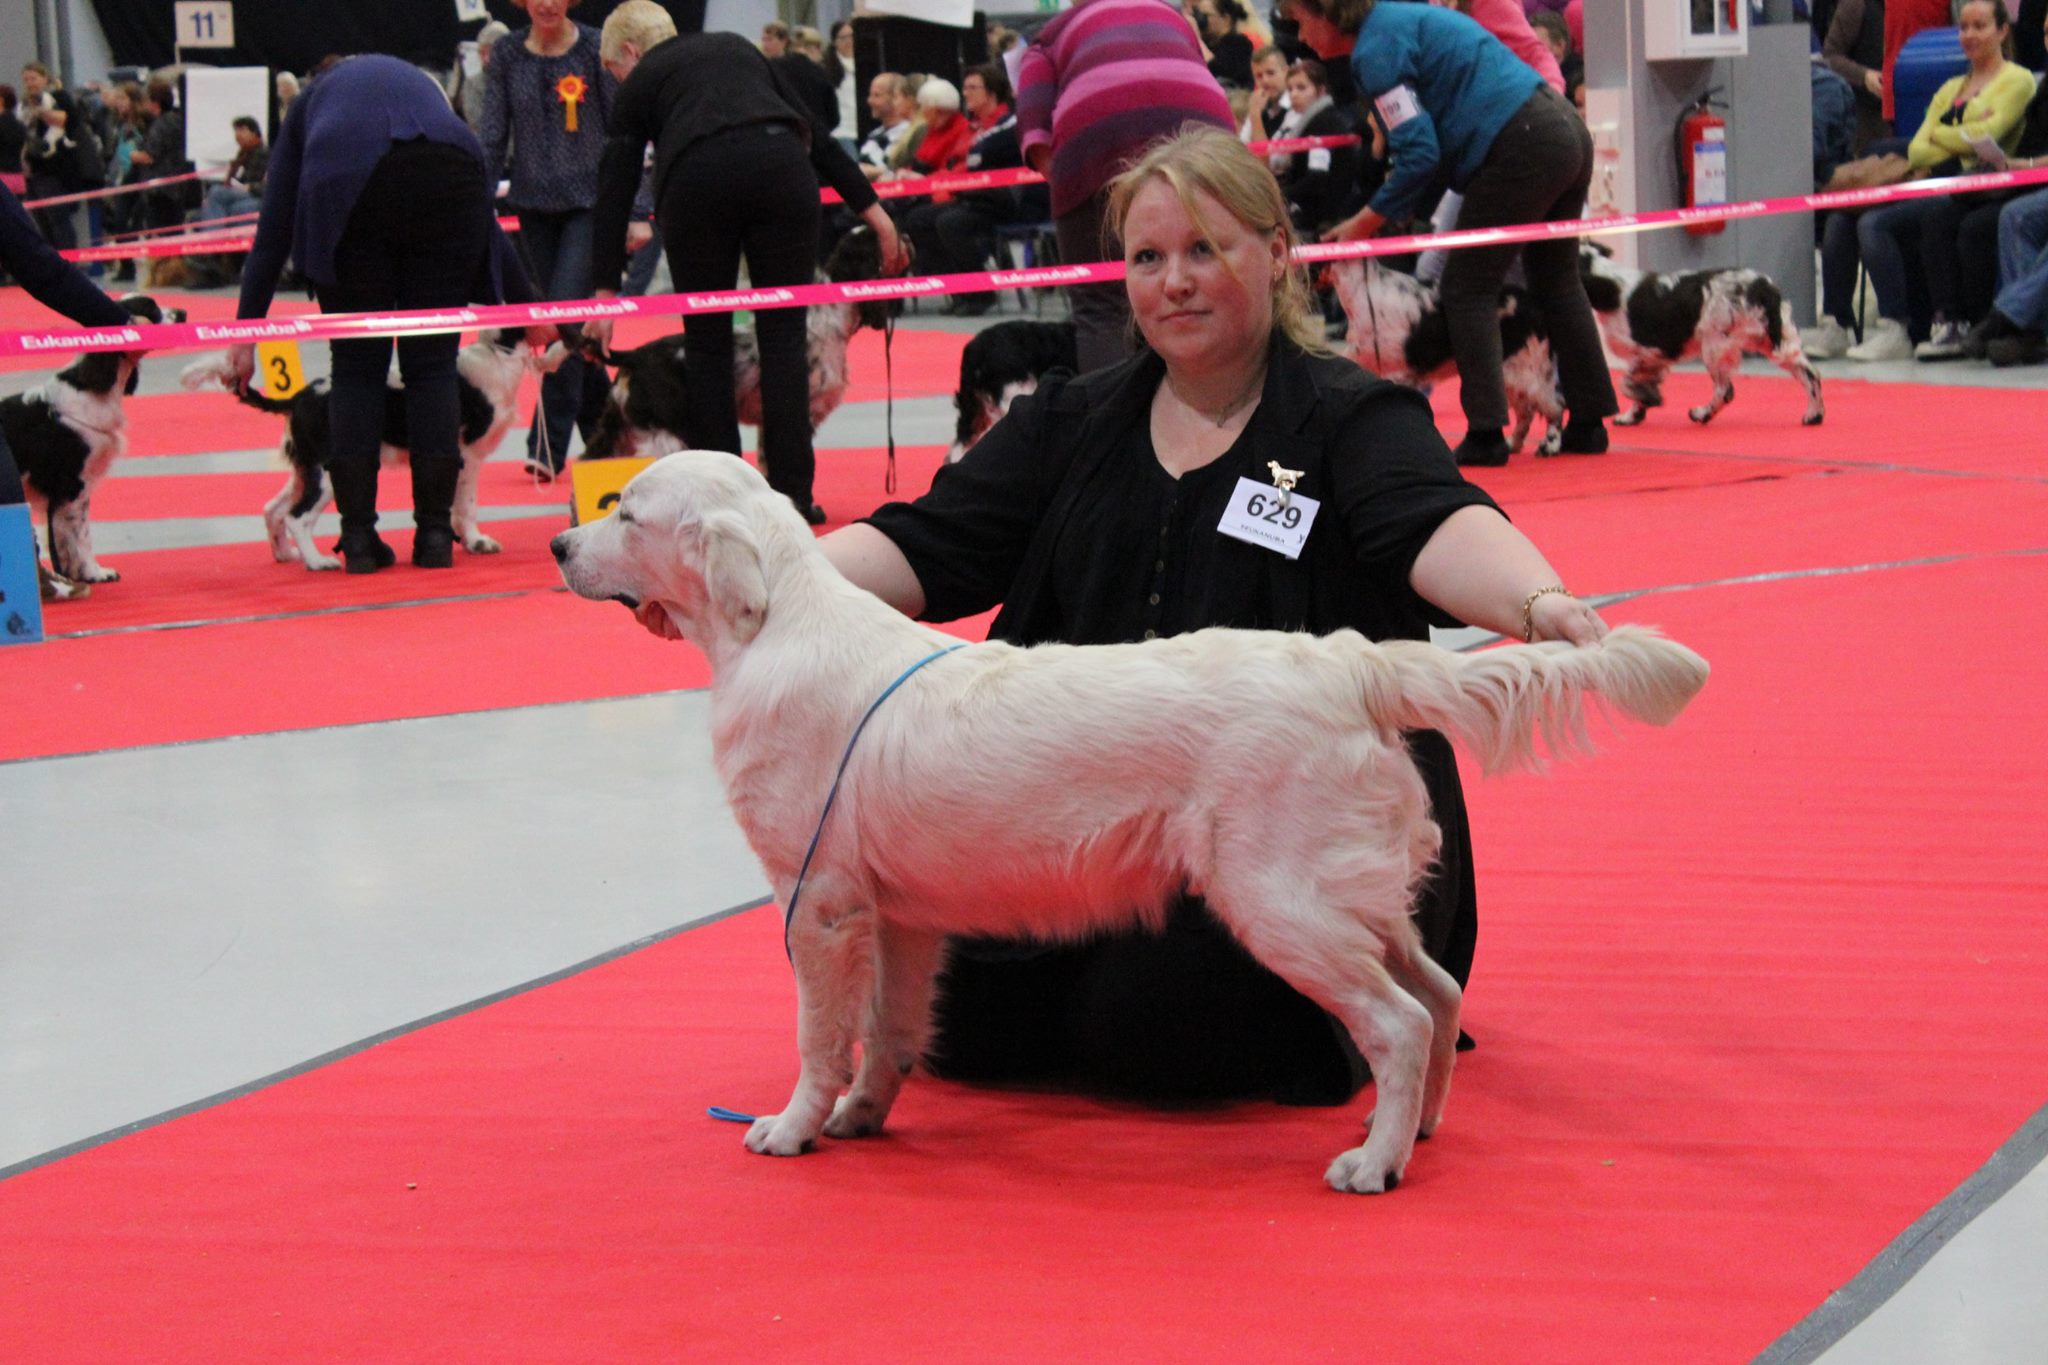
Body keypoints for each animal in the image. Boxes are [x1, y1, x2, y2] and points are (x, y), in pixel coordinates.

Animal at [181, 330, 563, 570]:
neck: (497, 355)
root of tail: (298, 398)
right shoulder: (467, 456)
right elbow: (466, 506)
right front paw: (477, 542)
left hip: (305, 468)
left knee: (272, 509)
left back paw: (286, 554)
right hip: (326, 474)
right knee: (296, 516)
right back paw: (318, 562)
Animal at [551, 450, 1710, 1193]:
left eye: (628, 512)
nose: (560, 543)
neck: (777, 623)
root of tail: (1348, 660)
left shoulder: (820, 902)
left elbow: (821, 1034)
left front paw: (793, 1128)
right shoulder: (903, 914)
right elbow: (888, 1030)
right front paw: (862, 1118)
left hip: (1277, 900)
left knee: (1399, 1021)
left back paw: (1372, 1162)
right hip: (1347, 893)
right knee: (1437, 991)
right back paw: (1418, 1127)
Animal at [1325, 259, 1565, 457]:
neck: (1363, 291)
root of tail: (1534, 304)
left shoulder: (1397, 373)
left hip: (1528, 371)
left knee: (1556, 406)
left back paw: (1550, 446)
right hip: (1509, 375)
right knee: (1526, 413)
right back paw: (1512, 445)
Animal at [1579, 244, 1824, 428]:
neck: (1611, 287)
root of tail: (1763, 288)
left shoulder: (1652, 350)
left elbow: (1627, 382)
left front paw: (1648, 399)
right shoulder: (1651, 359)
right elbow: (1638, 385)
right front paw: (1633, 415)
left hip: (1715, 345)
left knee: (1725, 391)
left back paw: (1701, 414)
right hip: (1771, 341)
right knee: (1811, 374)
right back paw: (1814, 415)